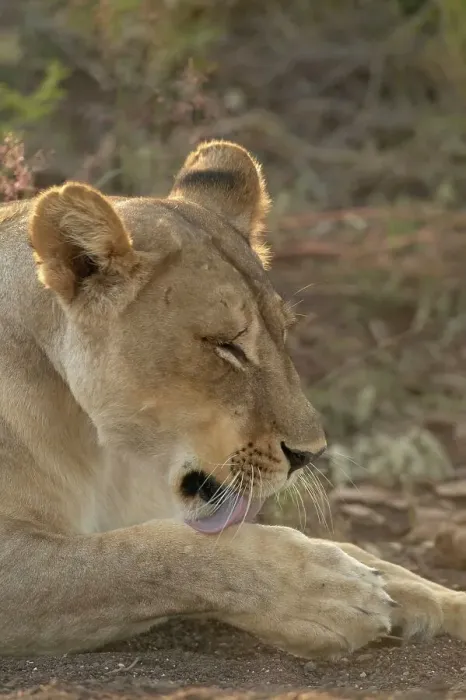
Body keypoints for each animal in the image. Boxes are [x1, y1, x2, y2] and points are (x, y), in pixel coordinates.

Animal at [0, 140, 465, 658]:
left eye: (284, 332)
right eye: (228, 345)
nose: (309, 455)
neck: (106, 454)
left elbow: (370, 558)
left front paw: (440, 597)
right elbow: (152, 556)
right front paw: (327, 591)